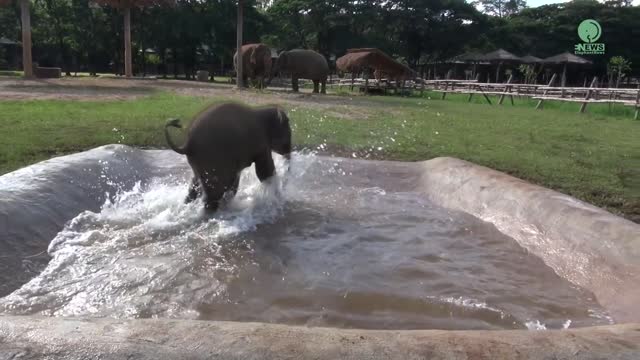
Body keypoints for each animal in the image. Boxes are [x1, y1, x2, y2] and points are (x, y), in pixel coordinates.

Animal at [165, 102, 296, 212]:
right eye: (288, 132)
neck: (261, 110)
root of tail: (187, 145)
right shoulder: (260, 142)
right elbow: (265, 172)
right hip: (212, 158)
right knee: (217, 190)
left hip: (200, 162)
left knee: (196, 184)